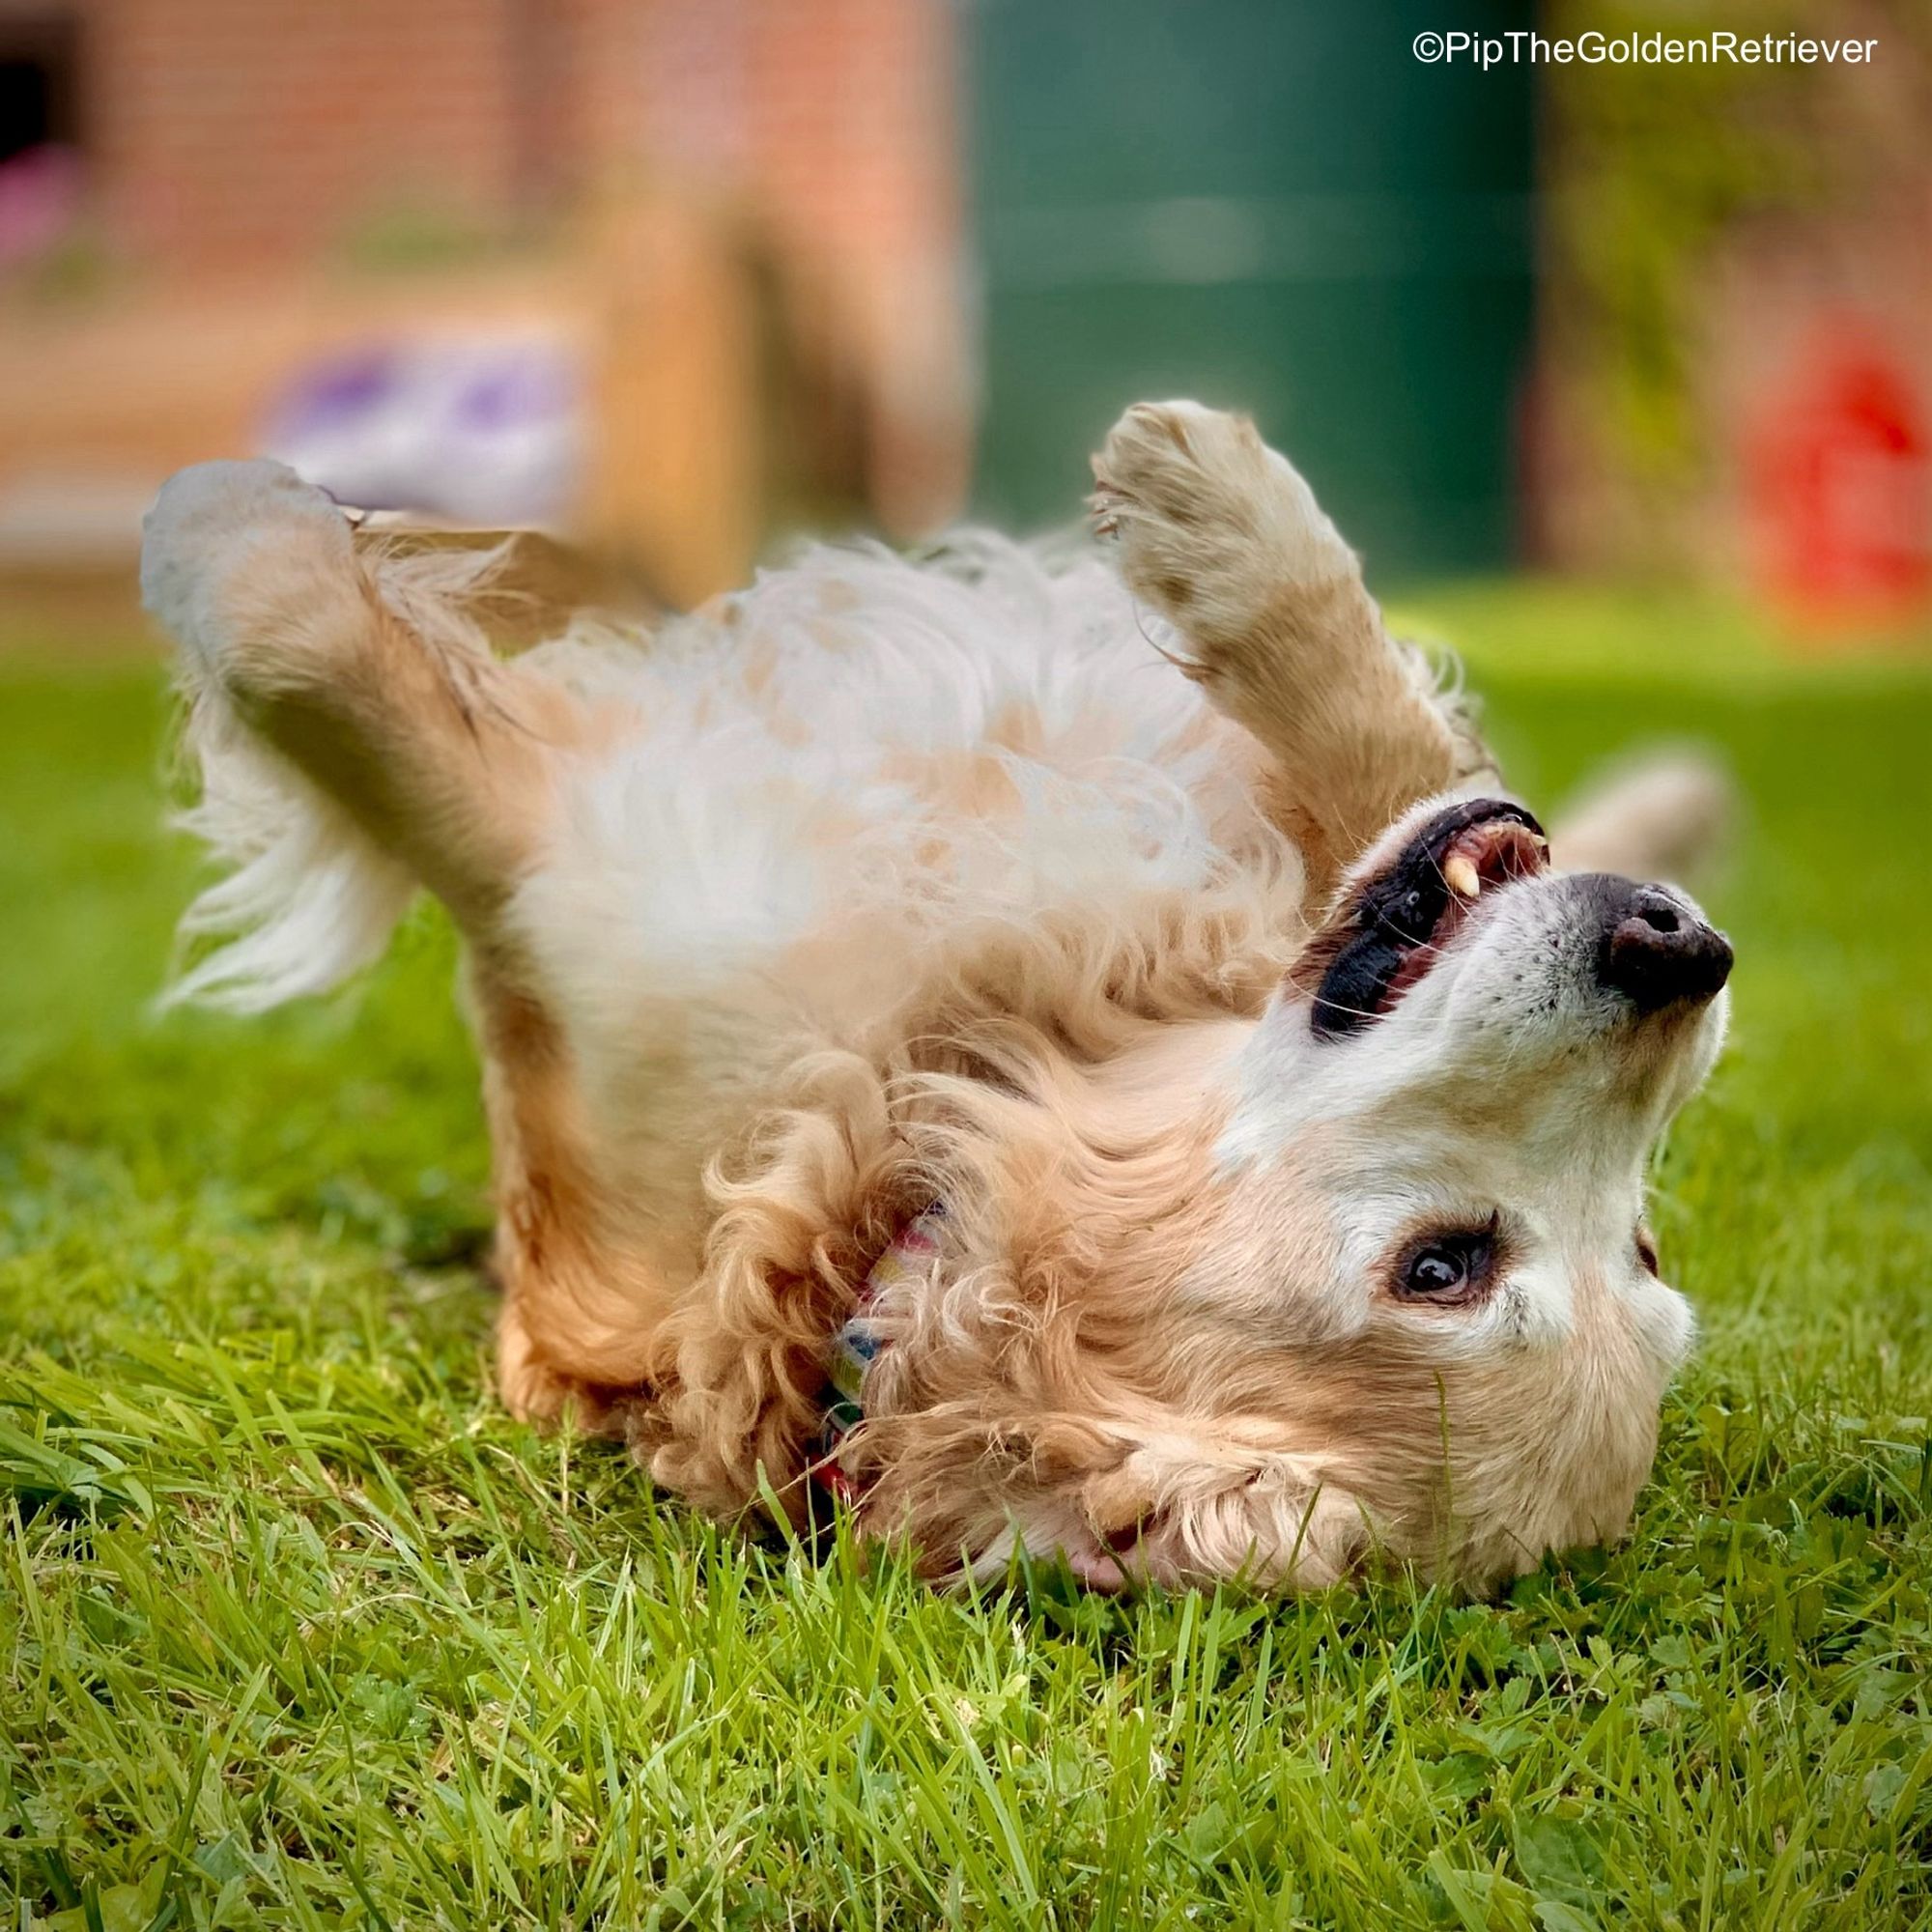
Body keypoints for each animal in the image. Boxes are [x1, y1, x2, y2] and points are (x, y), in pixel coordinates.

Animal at [140, 400, 1739, 1592]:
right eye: (1652, 1250)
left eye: (1437, 1268)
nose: (1674, 950)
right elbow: (1407, 765)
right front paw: (1223, 508)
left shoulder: (566, 875)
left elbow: (283, 628)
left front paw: (217, 511)